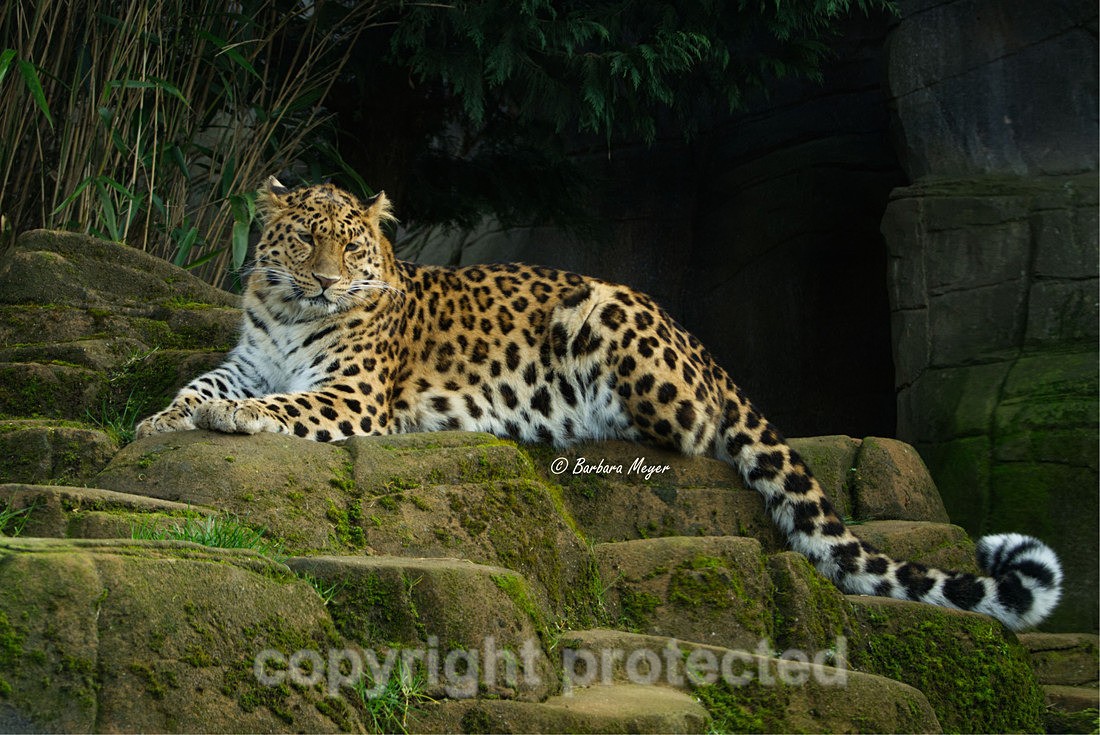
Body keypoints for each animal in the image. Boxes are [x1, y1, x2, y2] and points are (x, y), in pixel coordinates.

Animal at [137, 177, 1062, 630]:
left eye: (350, 244)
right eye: (303, 240)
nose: (327, 280)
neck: (291, 313)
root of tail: (705, 346)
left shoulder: (357, 394)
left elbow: (290, 409)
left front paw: (240, 420)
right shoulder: (249, 357)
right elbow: (200, 385)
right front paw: (159, 418)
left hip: (606, 312)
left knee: (695, 427)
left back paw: (571, 417)